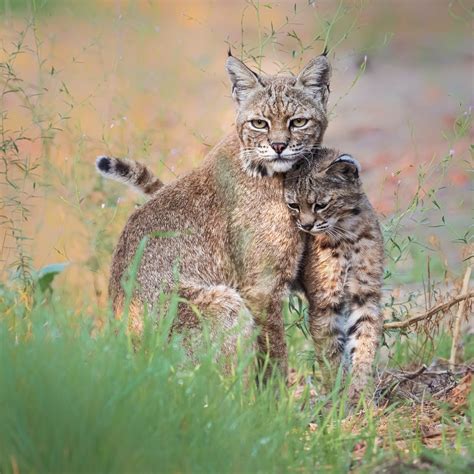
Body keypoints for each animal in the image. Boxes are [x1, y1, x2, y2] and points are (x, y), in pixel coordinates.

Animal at [284, 148, 384, 400]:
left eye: (320, 205)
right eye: (293, 205)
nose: (306, 227)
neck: (346, 231)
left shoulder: (366, 294)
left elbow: (364, 342)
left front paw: (361, 392)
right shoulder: (324, 301)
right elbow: (331, 352)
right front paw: (339, 394)